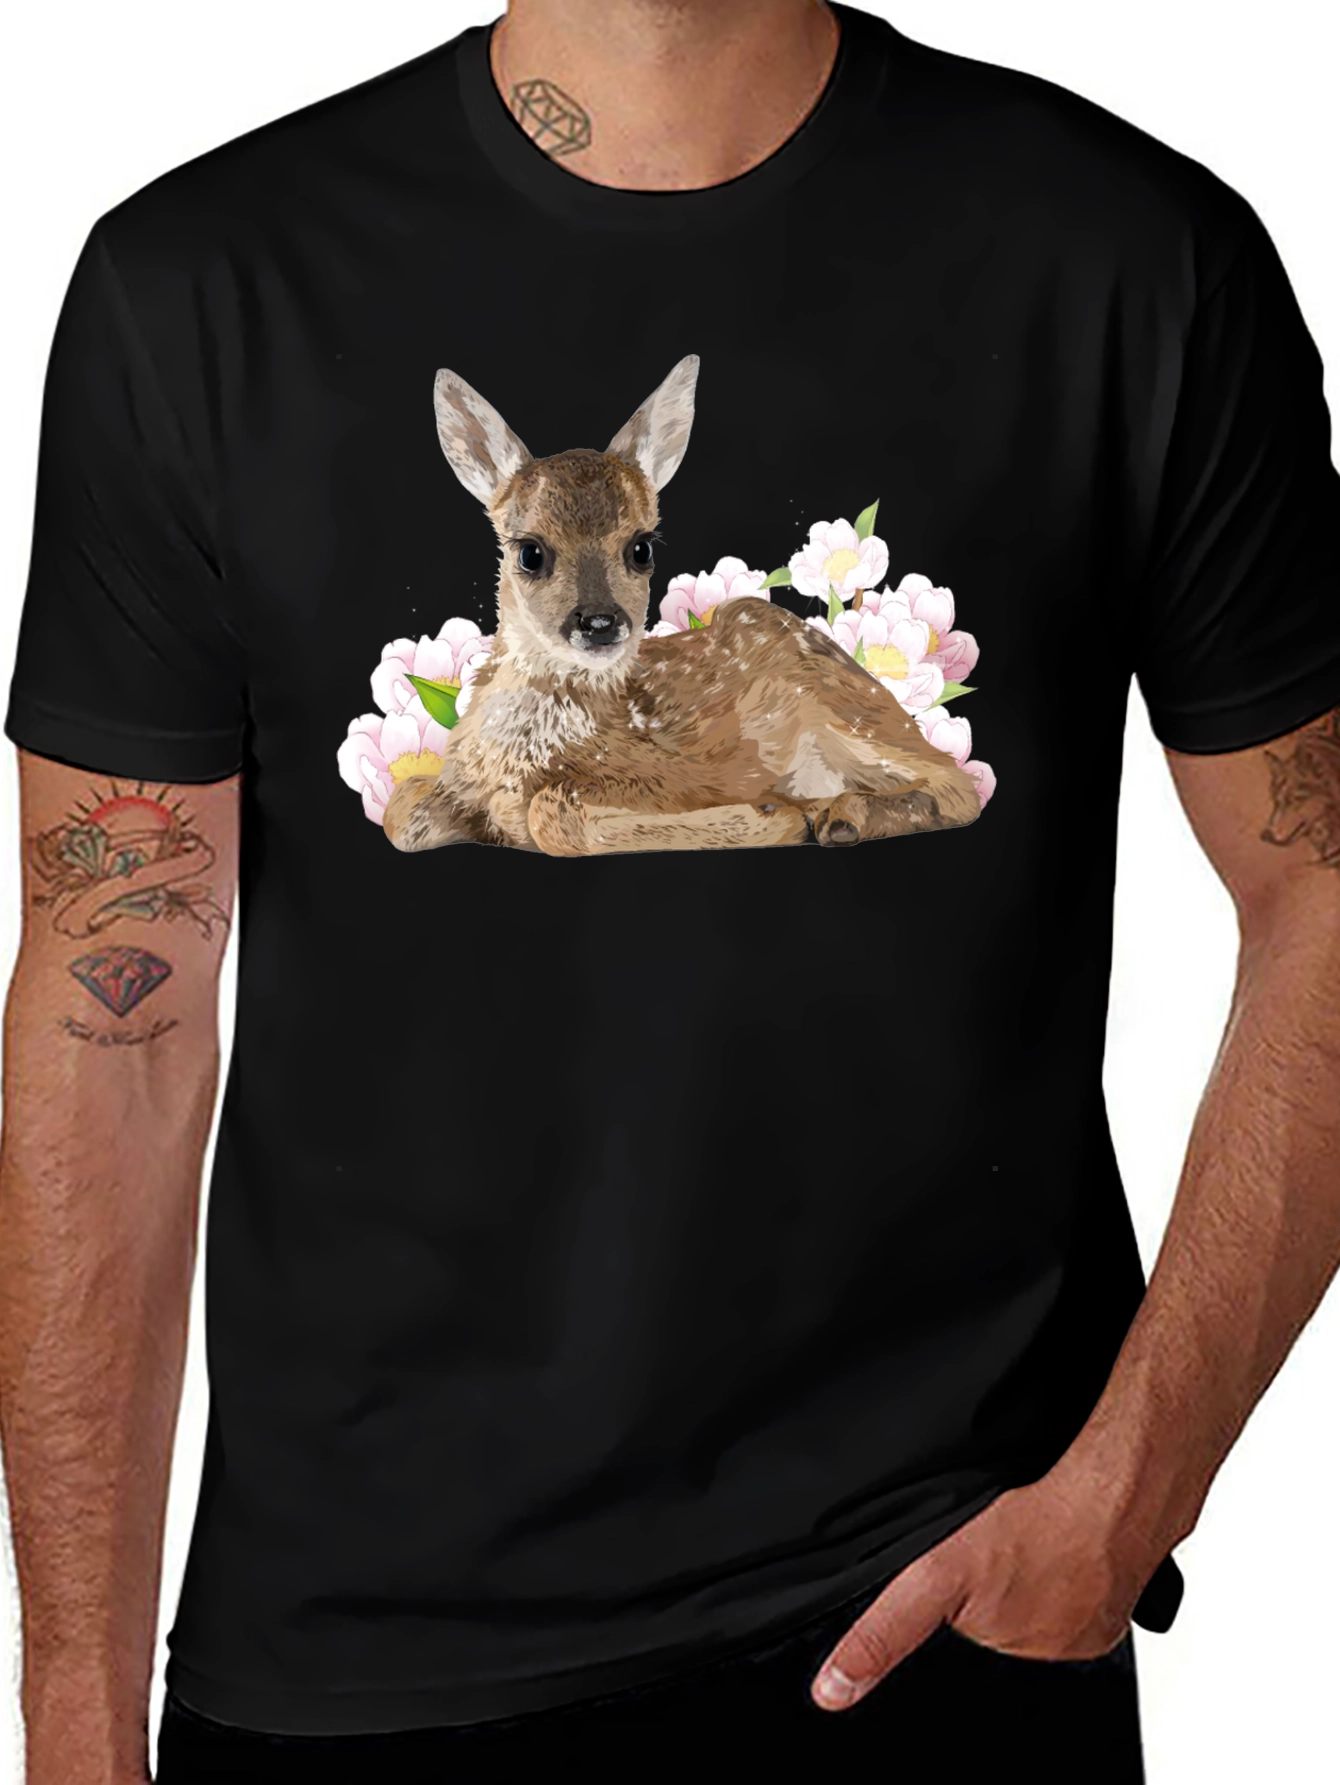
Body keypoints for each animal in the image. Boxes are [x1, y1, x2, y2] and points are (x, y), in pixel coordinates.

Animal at [383, 356, 983, 856]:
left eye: (641, 548)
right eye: (530, 552)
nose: (600, 622)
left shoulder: (682, 774)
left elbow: (551, 814)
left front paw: (773, 816)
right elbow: (399, 810)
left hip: (840, 702)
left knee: (959, 783)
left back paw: (839, 816)